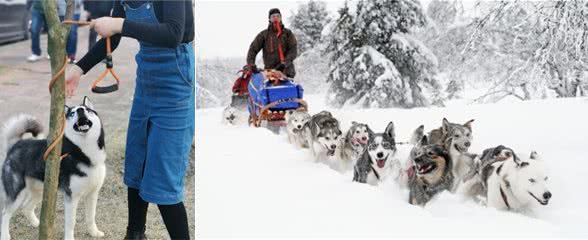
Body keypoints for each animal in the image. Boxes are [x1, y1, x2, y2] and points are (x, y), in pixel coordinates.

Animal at [1, 97, 106, 240]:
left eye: (87, 109)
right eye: (72, 113)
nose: (80, 110)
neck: (84, 153)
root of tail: (16, 144)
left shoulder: (93, 194)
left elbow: (91, 216)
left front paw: (94, 233)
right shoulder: (71, 197)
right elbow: (71, 222)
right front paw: (69, 238)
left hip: (43, 190)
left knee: (26, 207)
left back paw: (36, 223)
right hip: (17, 193)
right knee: (5, 213)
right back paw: (5, 235)